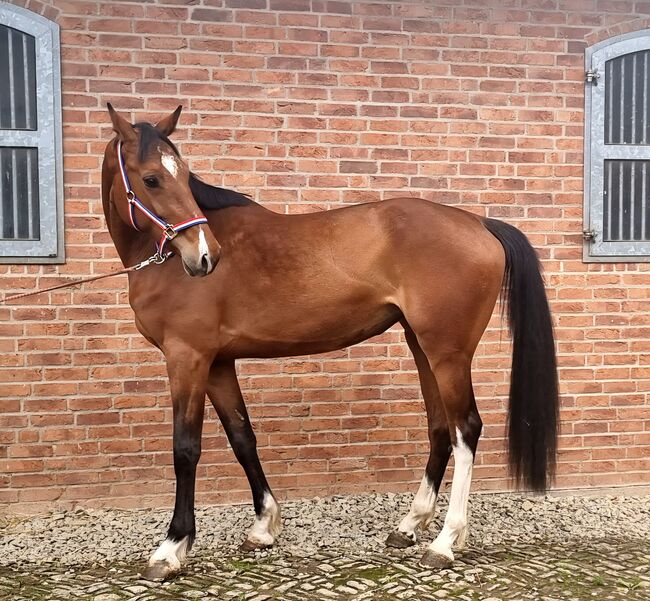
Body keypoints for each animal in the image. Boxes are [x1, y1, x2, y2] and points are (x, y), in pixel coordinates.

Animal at [101, 105, 559, 580]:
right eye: (152, 178)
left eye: (182, 174)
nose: (205, 256)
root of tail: (479, 223)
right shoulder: (218, 363)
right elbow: (242, 438)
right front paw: (263, 527)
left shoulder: (187, 358)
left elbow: (185, 449)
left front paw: (171, 548)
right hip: (422, 346)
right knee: (439, 428)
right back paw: (409, 526)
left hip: (448, 352)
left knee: (465, 429)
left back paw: (445, 541)